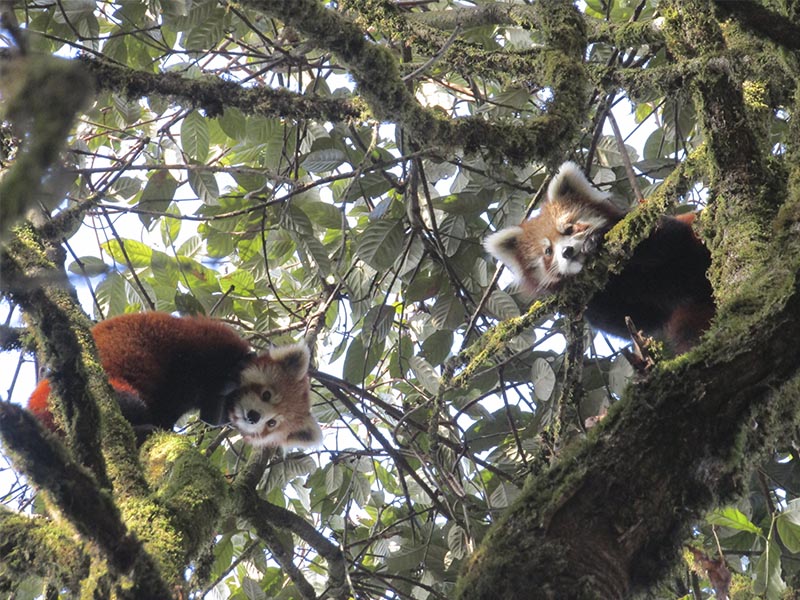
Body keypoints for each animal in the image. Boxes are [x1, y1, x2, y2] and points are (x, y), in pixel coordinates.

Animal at [28, 312, 322, 448]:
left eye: (272, 423)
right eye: (266, 395)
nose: (253, 417)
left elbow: (201, 413)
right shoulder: (207, 342)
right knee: (124, 405)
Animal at [484, 162, 716, 354]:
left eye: (569, 229)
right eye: (548, 252)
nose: (567, 252)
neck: (621, 277)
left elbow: (666, 241)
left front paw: (596, 238)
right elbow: (632, 321)